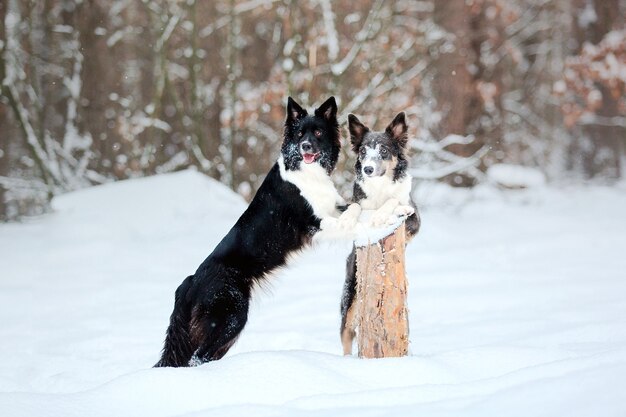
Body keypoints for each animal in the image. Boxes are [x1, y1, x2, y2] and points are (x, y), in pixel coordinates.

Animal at [155, 96, 352, 366]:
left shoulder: (333, 209)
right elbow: (355, 216)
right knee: (198, 357)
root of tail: (191, 281)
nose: (305, 146)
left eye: (319, 132)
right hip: (231, 315)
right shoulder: (313, 223)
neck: (306, 172)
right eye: (300, 134)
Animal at [336, 111, 420, 354]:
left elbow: (395, 201)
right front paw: (347, 218)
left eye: (383, 150)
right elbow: (354, 206)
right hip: (350, 296)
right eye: (363, 152)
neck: (380, 185)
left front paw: (383, 214)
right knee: (346, 335)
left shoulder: (416, 220)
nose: (368, 169)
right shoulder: (359, 201)